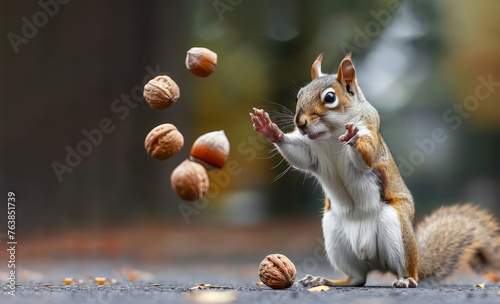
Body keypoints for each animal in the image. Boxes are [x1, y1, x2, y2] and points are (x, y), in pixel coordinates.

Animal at [250, 52, 500, 288]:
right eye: (299, 95)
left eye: (330, 97)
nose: (300, 122)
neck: (330, 135)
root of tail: (375, 262)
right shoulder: (311, 153)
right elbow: (301, 157)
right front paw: (270, 130)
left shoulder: (370, 136)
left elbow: (366, 155)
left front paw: (352, 138)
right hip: (335, 235)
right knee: (357, 279)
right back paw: (324, 280)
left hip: (396, 227)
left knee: (407, 271)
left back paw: (406, 280)